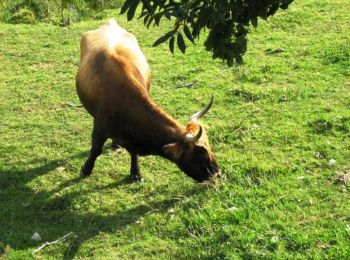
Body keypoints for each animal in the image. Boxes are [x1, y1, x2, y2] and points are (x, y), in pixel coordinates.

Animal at [76, 18, 220, 183]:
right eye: (201, 154)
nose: (217, 172)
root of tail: (110, 23)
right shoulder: (100, 127)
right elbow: (96, 150)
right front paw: (86, 169)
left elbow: (133, 152)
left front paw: (135, 172)